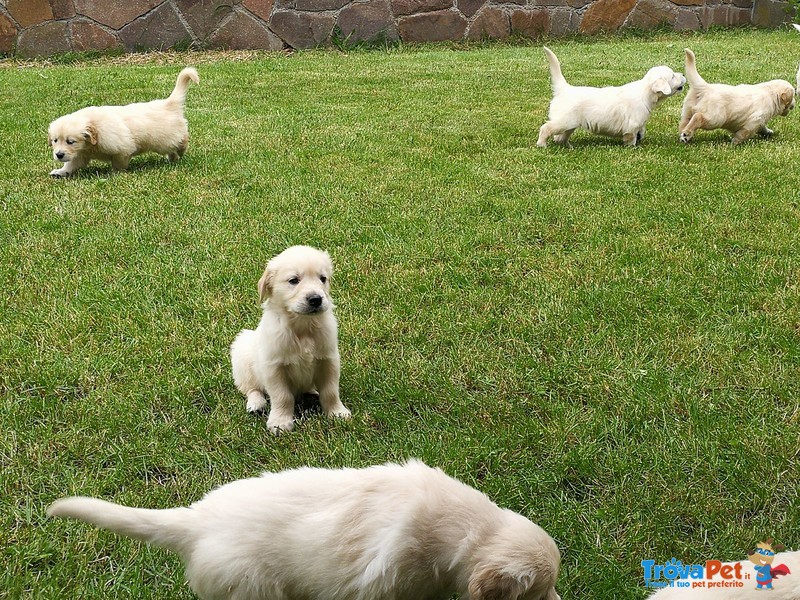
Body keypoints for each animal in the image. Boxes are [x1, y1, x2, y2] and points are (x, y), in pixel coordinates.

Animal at [47, 67, 199, 178]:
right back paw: (173, 158)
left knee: (182, 139)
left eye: (70, 141)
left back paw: (181, 149)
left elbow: (119, 163)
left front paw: (116, 174)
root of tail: (168, 103)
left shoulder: (122, 149)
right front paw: (60, 172)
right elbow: (71, 165)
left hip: (165, 139)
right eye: (55, 140)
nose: (59, 155)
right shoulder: (80, 154)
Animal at [228, 246, 350, 434]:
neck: (303, 326)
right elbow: (282, 396)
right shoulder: (274, 367)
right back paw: (256, 404)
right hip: (242, 354)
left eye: (323, 279)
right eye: (293, 280)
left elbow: (330, 391)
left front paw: (337, 412)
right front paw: (280, 422)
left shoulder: (328, 360)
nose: (316, 299)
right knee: (251, 388)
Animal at [536, 46, 684, 148]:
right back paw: (542, 144)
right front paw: (632, 147)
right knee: (546, 128)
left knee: (560, 137)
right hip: (564, 120)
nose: (683, 75)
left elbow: (641, 131)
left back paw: (569, 146)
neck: (646, 93)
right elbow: (631, 137)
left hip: (570, 123)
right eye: (672, 76)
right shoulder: (632, 125)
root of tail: (564, 89)